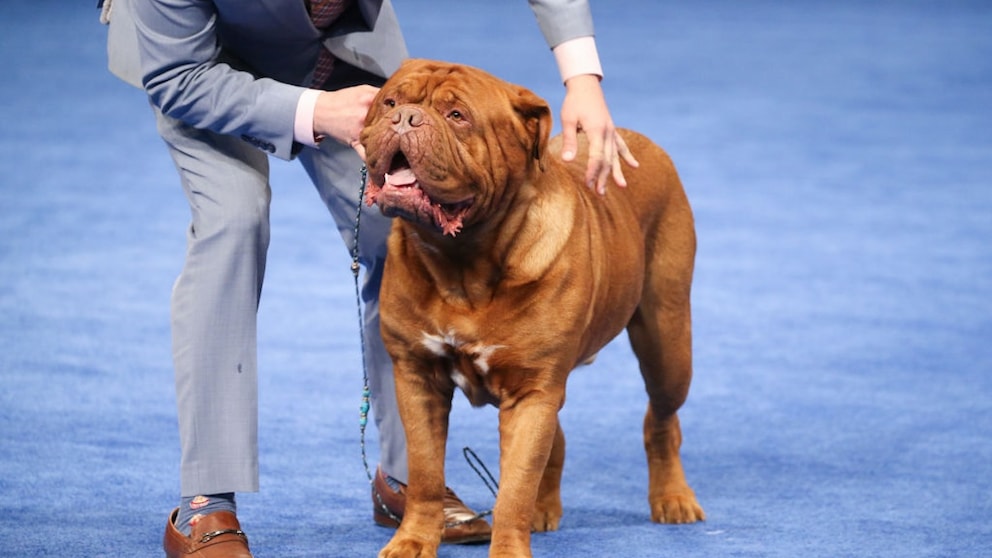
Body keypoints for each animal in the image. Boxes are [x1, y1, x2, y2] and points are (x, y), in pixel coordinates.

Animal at [360, 60, 700, 558]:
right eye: (389, 101)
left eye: (458, 116)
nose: (404, 118)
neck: (462, 263)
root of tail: (634, 140)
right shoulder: (418, 375)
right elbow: (425, 473)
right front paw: (413, 542)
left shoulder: (532, 392)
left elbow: (514, 488)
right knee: (556, 441)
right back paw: (545, 508)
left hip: (666, 340)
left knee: (662, 420)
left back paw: (673, 498)